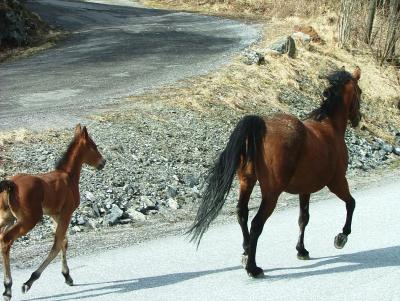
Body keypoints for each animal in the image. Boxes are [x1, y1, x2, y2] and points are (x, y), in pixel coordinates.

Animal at [0, 123, 106, 298]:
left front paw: (68, 276)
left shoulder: (55, 215)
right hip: (29, 219)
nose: (103, 162)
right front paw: (30, 281)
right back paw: (8, 288)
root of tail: (11, 184)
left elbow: (64, 241)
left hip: (6, 217)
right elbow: (57, 244)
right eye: (94, 146)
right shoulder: (67, 213)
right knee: (6, 239)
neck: (68, 176)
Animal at [190, 67, 362, 276]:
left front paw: (301, 250)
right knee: (256, 223)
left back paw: (246, 251)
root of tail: (261, 127)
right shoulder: (337, 182)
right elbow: (351, 204)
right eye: (360, 92)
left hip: (246, 182)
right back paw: (253, 268)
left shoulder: (305, 189)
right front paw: (342, 237)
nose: (358, 119)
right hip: (272, 193)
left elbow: (303, 218)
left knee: (242, 213)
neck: (330, 126)